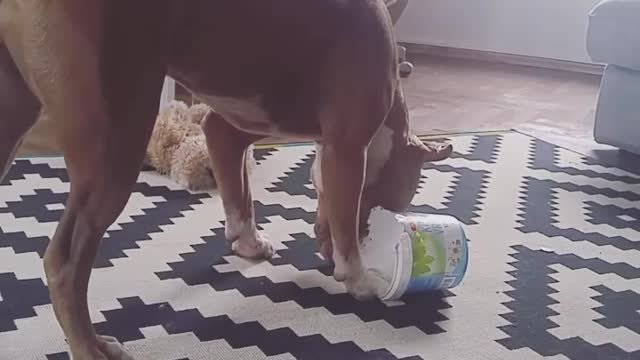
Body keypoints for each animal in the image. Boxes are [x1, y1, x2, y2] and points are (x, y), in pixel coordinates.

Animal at [0, 0, 450, 358]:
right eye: (379, 215)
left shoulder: (227, 132)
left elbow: (240, 193)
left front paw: (247, 242)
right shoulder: (347, 150)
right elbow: (344, 222)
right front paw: (359, 278)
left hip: (16, 117)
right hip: (116, 141)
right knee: (65, 262)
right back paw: (88, 347)